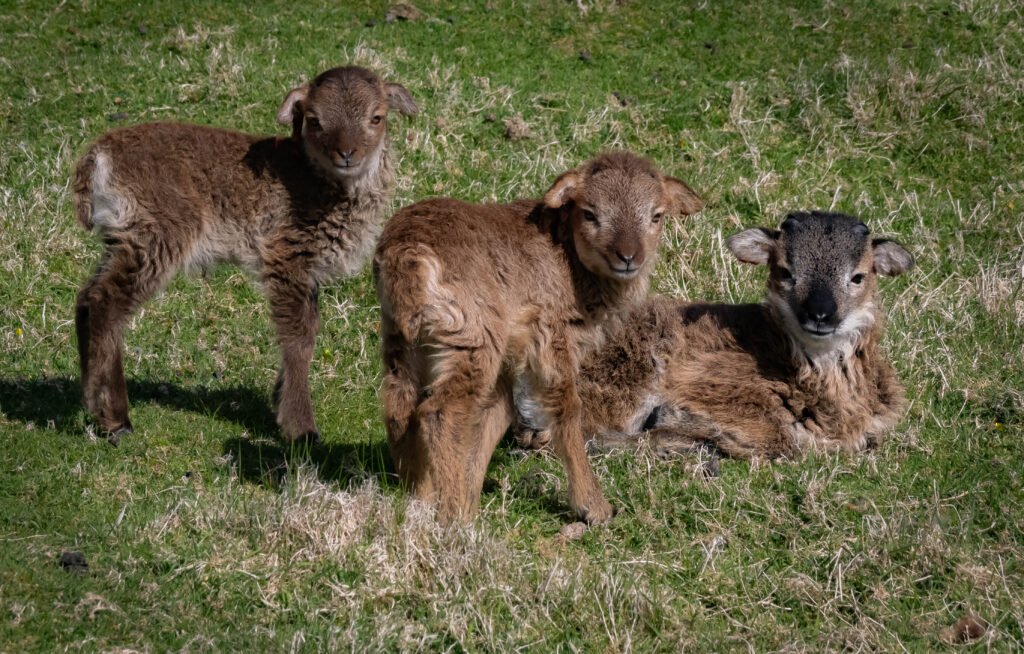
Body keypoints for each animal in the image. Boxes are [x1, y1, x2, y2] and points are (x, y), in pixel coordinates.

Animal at [72, 65, 418, 443]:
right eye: (314, 120)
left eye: (377, 117)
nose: (346, 154)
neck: (314, 180)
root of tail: (97, 158)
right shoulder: (286, 252)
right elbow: (298, 337)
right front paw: (301, 428)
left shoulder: (308, 268)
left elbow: (310, 328)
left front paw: (279, 402)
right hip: (159, 231)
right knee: (107, 303)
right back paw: (115, 418)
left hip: (124, 236)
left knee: (87, 297)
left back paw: (89, 400)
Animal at [373, 152, 704, 524]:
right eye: (589, 213)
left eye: (656, 215)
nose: (628, 257)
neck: (570, 262)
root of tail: (407, 255)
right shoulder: (551, 335)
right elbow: (568, 409)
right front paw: (593, 507)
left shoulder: (511, 358)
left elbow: (495, 415)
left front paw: (471, 497)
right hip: (470, 335)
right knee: (439, 413)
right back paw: (452, 515)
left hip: (403, 338)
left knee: (399, 406)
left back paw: (420, 498)